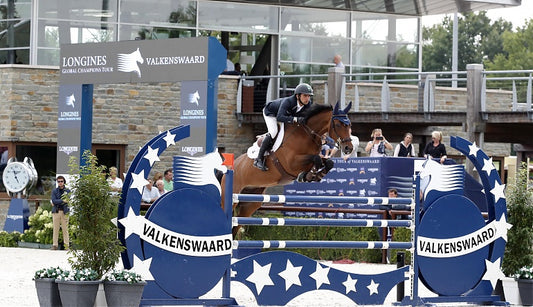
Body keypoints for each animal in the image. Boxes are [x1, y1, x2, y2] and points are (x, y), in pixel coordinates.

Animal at [221, 101, 354, 236]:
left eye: (349, 125)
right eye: (338, 124)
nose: (349, 148)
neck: (307, 135)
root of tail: (230, 168)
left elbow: (328, 162)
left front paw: (314, 175)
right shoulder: (291, 163)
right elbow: (316, 159)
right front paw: (308, 175)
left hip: (250, 203)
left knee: (236, 227)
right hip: (232, 197)